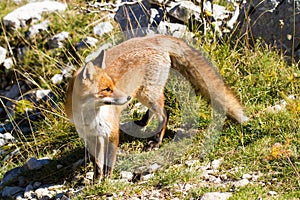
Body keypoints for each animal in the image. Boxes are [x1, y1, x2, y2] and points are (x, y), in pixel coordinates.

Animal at [64, 34, 250, 181]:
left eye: (112, 86)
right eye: (106, 89)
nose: (126, 98)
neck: (90, 118)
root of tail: (152, 38)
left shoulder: (112, 132)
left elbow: (108, 161)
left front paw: (107, 181)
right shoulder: (92, 136)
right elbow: (98, 164)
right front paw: (96, 181)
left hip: (147, 93)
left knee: (164, 114)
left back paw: (157, 142)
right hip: (144, 94)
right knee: (154, 112)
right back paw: (142, 123)